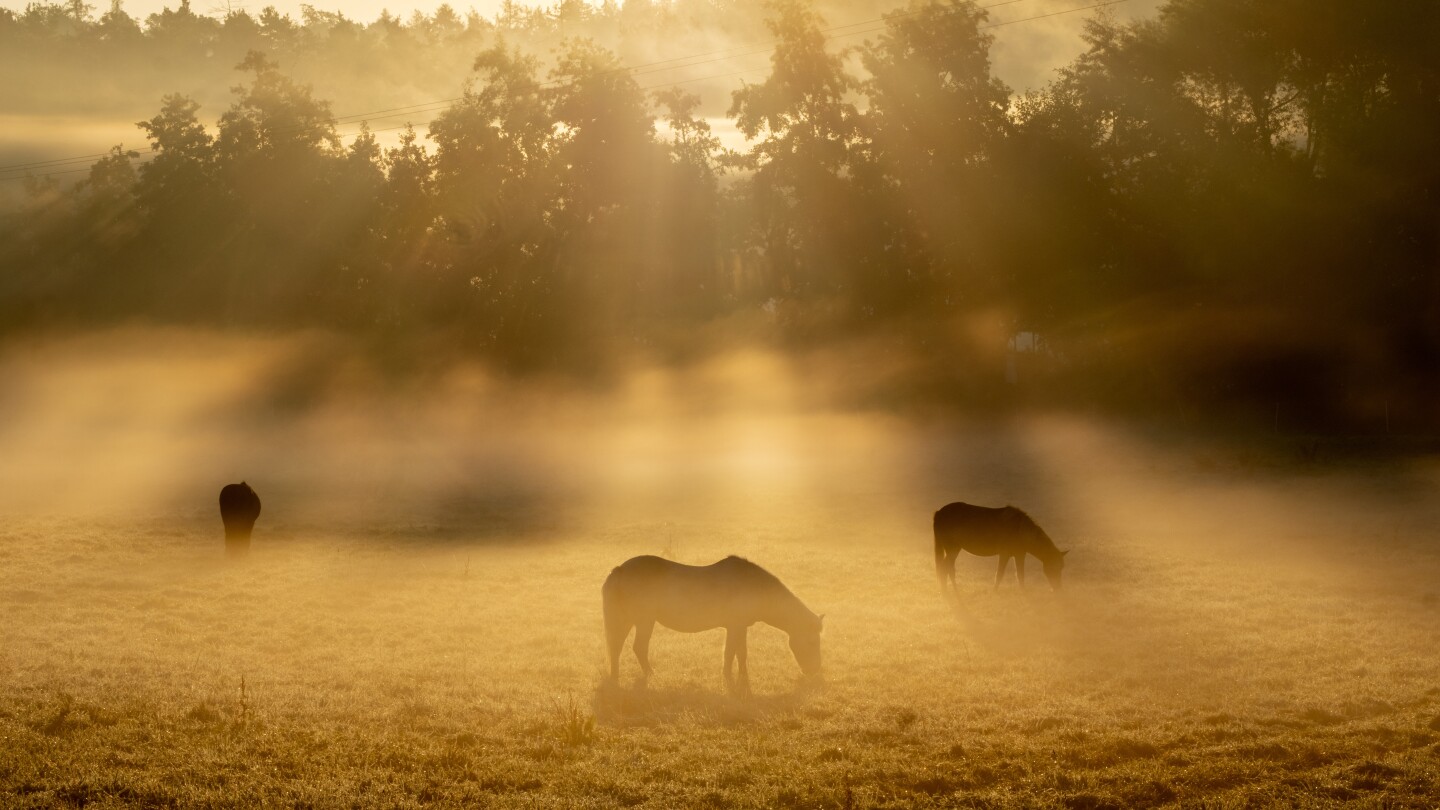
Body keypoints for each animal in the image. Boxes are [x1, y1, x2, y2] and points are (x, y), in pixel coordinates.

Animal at [599, 553, 823, 694]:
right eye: (813, 642)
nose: (815, 671)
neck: (753, 585)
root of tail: (619, 569)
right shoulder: (735, 627)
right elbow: (732, 653)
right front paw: (732, 681)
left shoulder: (739, 628)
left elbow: (739, 654)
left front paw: (741, 679)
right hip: (641, 620)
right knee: (632, 647)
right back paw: (645, 676)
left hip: (633, 620)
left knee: (622, 647)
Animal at [933, 498, 1071, 593]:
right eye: (1054, 568)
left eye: (1062, 567)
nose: (1057, 589)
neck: (1020, 529)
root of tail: (939, 512)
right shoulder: (1004, 554)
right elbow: (999, 574)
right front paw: (995, 592)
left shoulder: (1019, 554)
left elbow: (1020, 575)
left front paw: (1023, 592)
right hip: (953, 549)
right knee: (946, 568)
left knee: (946, 568)